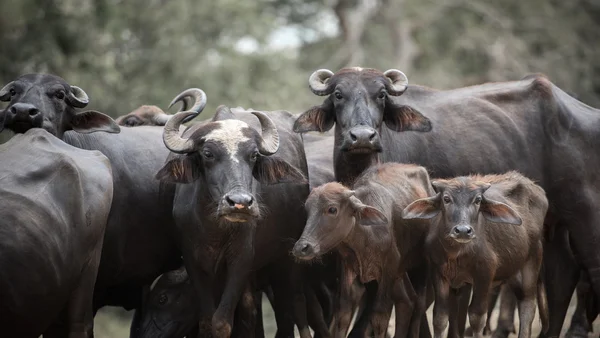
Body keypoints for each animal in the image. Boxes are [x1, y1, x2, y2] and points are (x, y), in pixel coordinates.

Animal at [292, 162, 436, 336]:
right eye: (307, 210)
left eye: (332, 209)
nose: (302, 247)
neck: (367, 235)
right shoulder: (347, 267)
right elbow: (343, 314)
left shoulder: (388, 270)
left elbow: (380, 317)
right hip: (400, 273)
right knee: (407, 301)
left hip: (421, 265)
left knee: (419, 303)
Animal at [404, 172, 548, 338]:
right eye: (446, 199)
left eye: (478, 200)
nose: (463, 231)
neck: (456, 254)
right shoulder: (438, 273)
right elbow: (440, 317)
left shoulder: (484, 273)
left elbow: (476, 317)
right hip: (512, 271)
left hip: (532, 262)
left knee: (528, 305)